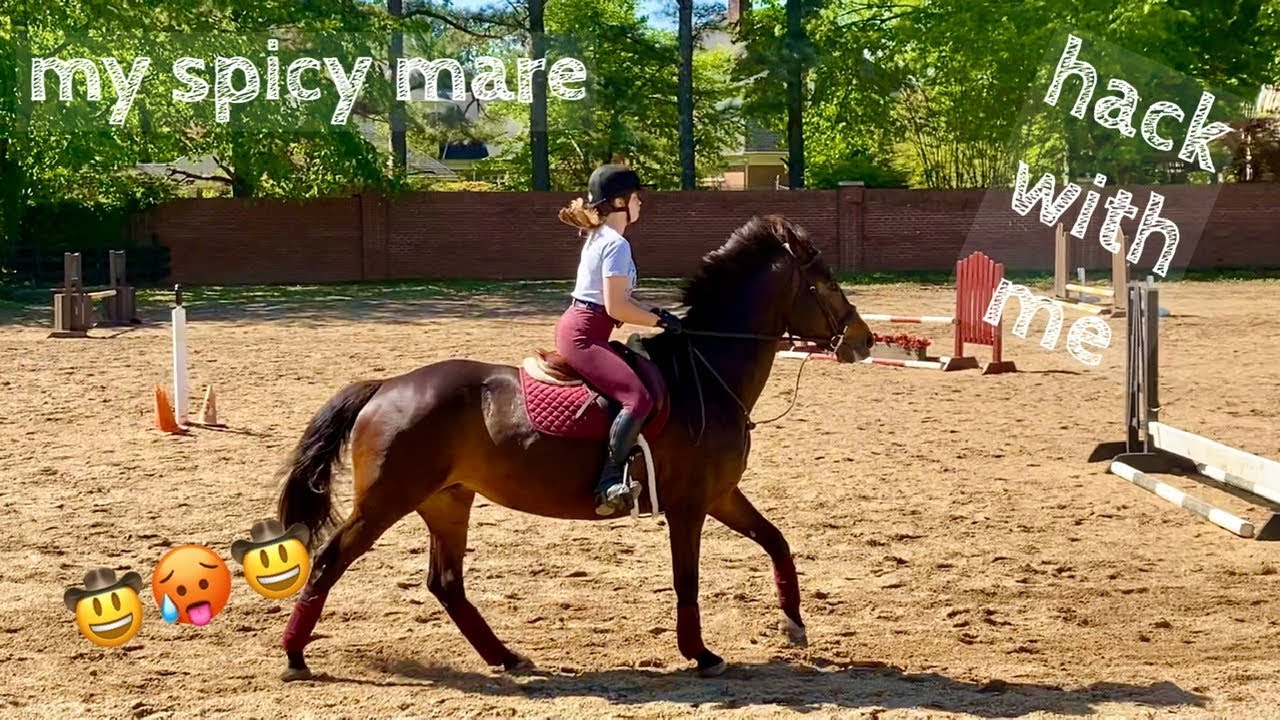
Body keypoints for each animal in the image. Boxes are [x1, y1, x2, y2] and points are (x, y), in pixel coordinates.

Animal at [273, 214, 875, 681]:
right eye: (824, 283)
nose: (863, 340)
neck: (707, 371)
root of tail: (387, 385)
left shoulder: (720, 494)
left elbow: (776, 541)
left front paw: (793, 623)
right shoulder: (689, 505)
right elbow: (687, 580)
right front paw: (701, 654)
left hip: (446, 500)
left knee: (446, 583)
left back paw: (507, 657)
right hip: (386, 500)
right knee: (329, 561)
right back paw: (295, 657)